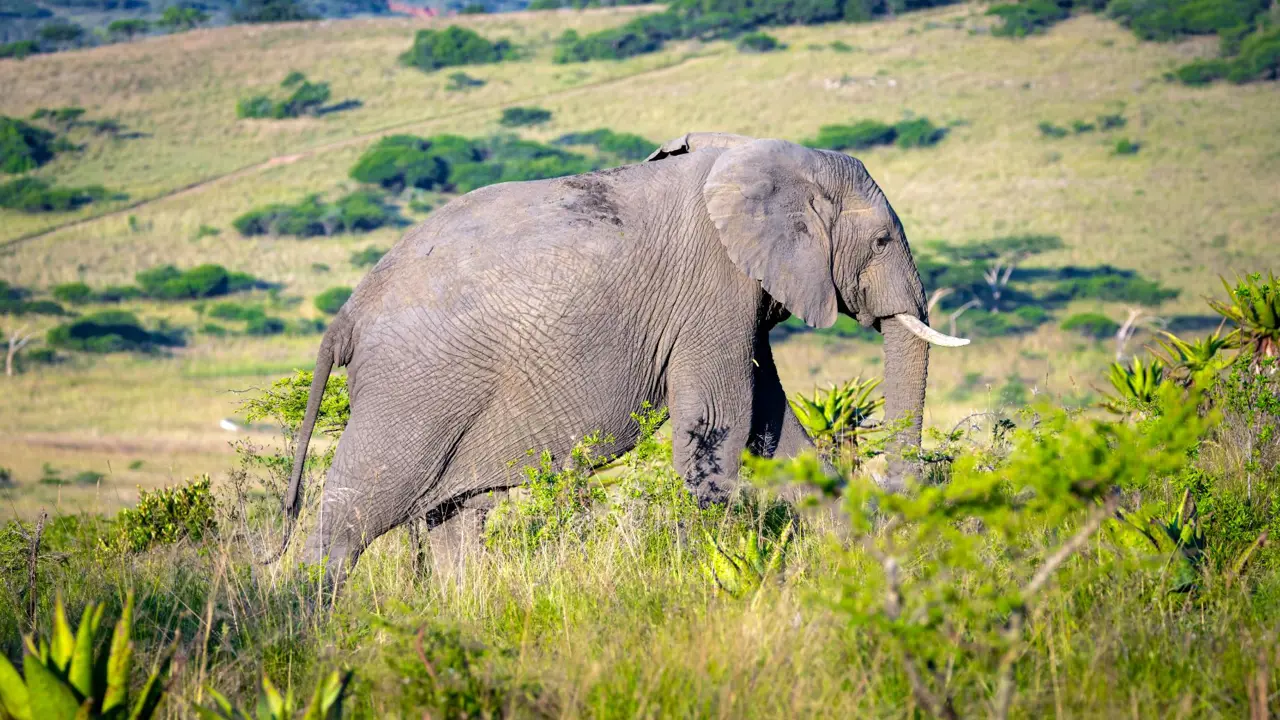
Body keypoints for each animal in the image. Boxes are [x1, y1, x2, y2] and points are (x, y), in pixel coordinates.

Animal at [279, 132, 968, 584]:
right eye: (880, 241)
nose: (901, 509)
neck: (770, 158)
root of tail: (346, 317)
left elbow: (774, 430)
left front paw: (847, 550)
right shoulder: (712, 288)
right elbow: (719, 424)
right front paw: (708, 570)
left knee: (454, 515)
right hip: (413, 386)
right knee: (358, 509)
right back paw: (307, 623)